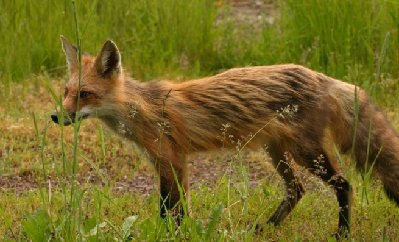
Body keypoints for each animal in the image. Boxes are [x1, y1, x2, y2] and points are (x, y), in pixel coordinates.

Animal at [52, 36, 399, 236]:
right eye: (66, 92)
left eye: (85, 94)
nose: (56, 117)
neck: (143, 108)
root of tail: (322, 77)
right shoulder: (166, 161)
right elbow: (174, 207)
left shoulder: (172, 159)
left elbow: (170, 208)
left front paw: (172, 234)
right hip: (276, 152)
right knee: (297, 190)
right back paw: (264, 228)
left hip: (306, 153)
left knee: (344, 184)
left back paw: (342, 233)